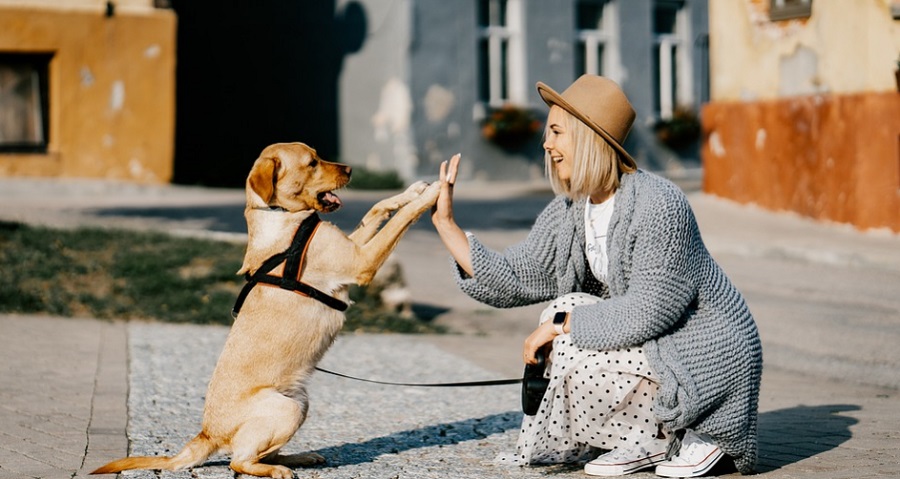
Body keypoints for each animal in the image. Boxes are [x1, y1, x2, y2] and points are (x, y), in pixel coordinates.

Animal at [90, 142, 440, 479]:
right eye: (312, 163)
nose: (351, 169)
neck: (282, 216)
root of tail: (207, 434)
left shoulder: (353, 247)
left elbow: (377, 208)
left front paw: (413, 190)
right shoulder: (361, 261)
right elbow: (400, 220)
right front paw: (433, 193)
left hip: (300, 402)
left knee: (259, 453)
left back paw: (299, 457)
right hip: (287, 409)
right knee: (239, 461)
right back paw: (278, 470)